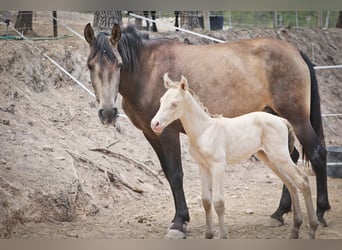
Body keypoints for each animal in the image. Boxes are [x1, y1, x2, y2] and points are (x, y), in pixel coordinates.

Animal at [151, 73, 320, 239]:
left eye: (174, 104)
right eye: (161, 101)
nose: (155, 124)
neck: (204, 130)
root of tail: (281, 119)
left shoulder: (218, 166)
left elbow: (219, 202)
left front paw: (222, 235)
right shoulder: (203, 166)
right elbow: (206, 201)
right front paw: (209, 234)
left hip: (281, 156)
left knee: (302, 180)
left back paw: (312, 228)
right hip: (269, 158)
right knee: (292, 184)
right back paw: (295, 229)